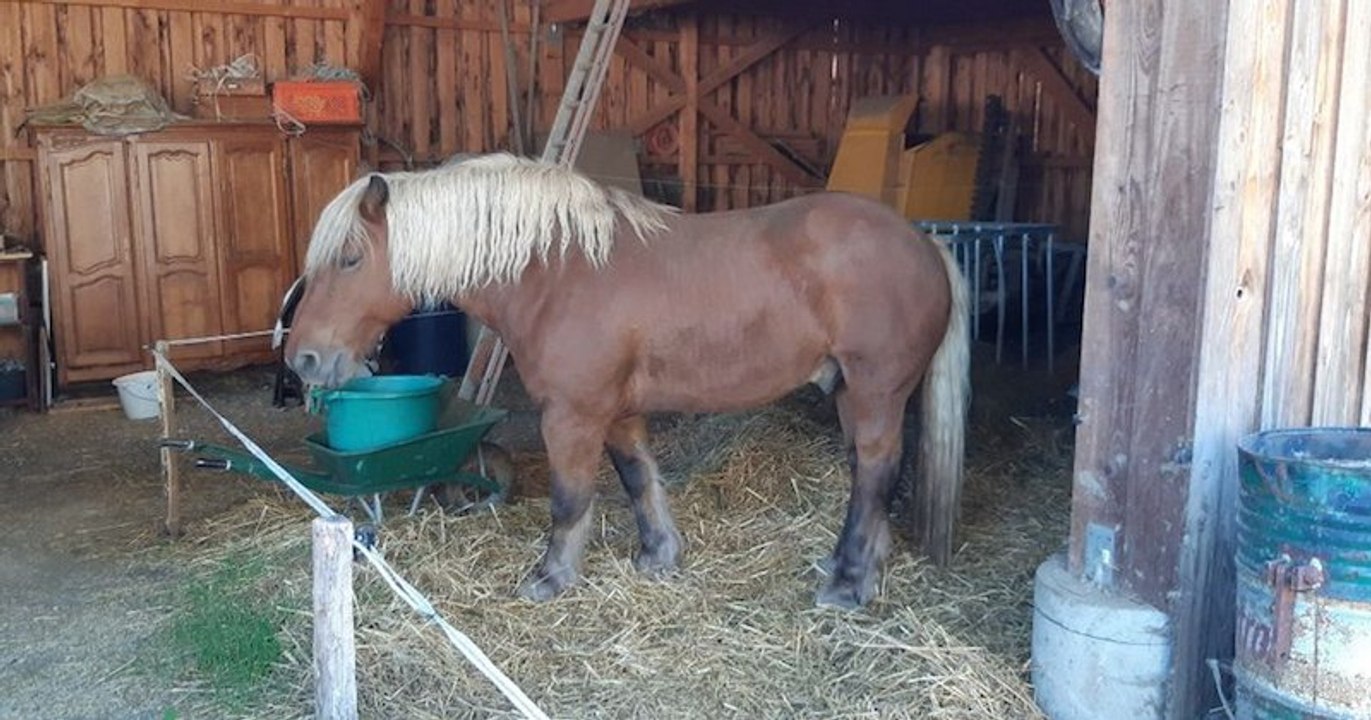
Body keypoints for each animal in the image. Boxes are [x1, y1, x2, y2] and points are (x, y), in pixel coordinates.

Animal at [284, 153, 969, 610]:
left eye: (350, 259)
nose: (304, 360)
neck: (557, 270)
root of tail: (924, 243)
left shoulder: (572, 414)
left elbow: (569, 499)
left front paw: (551, 576)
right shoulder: (615, 412)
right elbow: (639, 478)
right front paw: (658, 556)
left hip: (876, 391)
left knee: (876, 471)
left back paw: (848, 584)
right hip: (853, 392)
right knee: (867, 474)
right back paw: (859, 566)